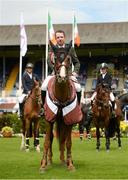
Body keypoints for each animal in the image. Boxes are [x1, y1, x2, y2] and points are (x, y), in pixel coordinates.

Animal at [39, 40, 82, 172]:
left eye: (68, 59)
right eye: (55, 58)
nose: (62, 77)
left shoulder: (69, 119)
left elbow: (68, 142)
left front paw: (70, 165)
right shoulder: (49, 118)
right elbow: (47, 141)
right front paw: (43, 165)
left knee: (62, 139)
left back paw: (64, 161)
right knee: (52, 138)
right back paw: (49, 161)